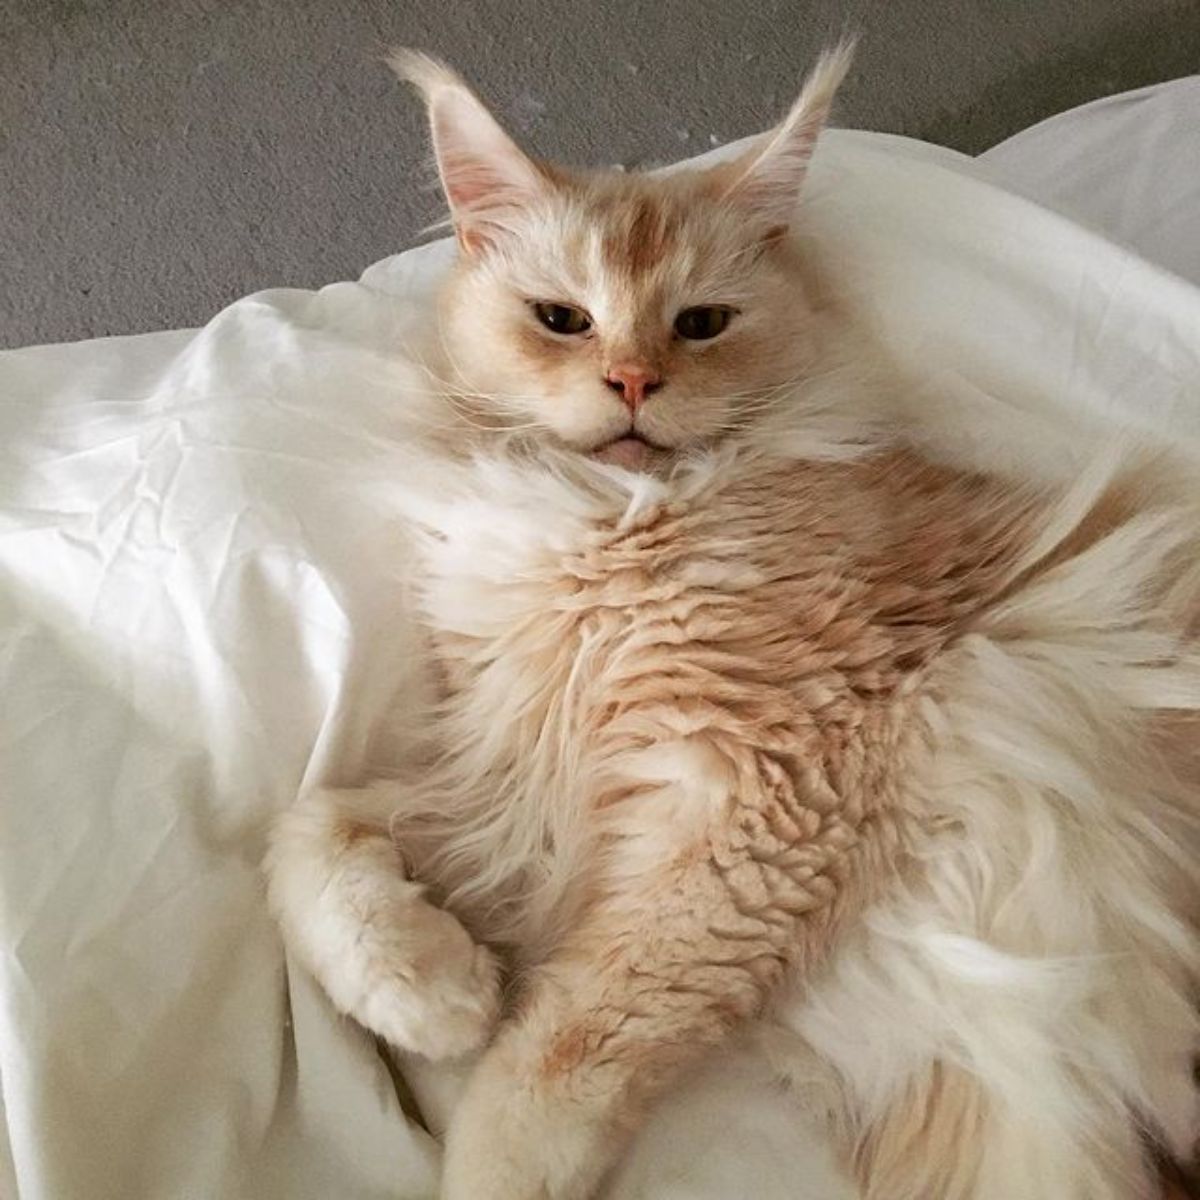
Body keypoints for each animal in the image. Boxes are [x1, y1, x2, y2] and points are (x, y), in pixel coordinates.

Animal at [265, 46, 1200, 1200]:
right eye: (563, 320)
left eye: (701, 324)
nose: (632, 381)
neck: (611, 524)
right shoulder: (521, 794)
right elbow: (311, 836)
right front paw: (435, 994)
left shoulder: (766, 798)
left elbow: (567, 1050)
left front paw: (493, 1151)